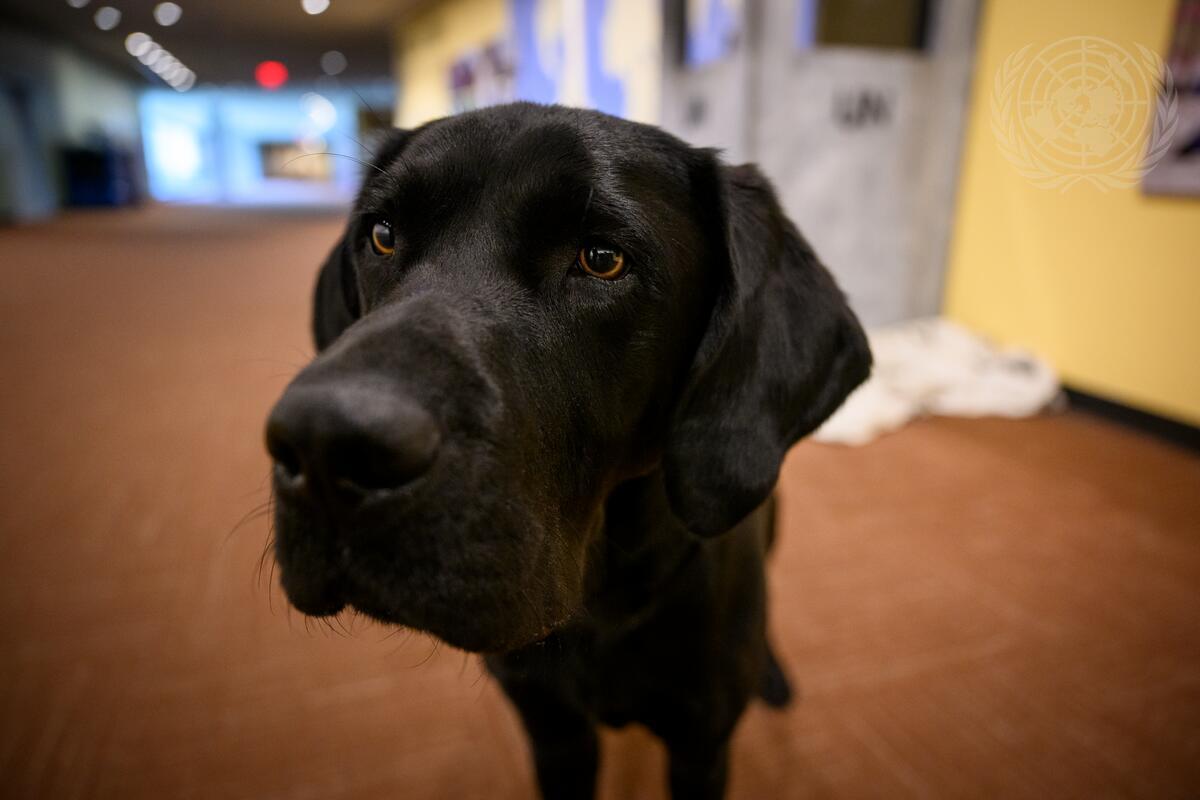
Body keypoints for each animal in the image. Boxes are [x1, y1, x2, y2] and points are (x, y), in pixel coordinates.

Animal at [267, 103, 868, 796]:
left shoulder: (701, 747)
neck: (602, 602)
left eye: (603, 258)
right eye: (383, 235)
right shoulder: (554, 733)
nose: (325, 445)